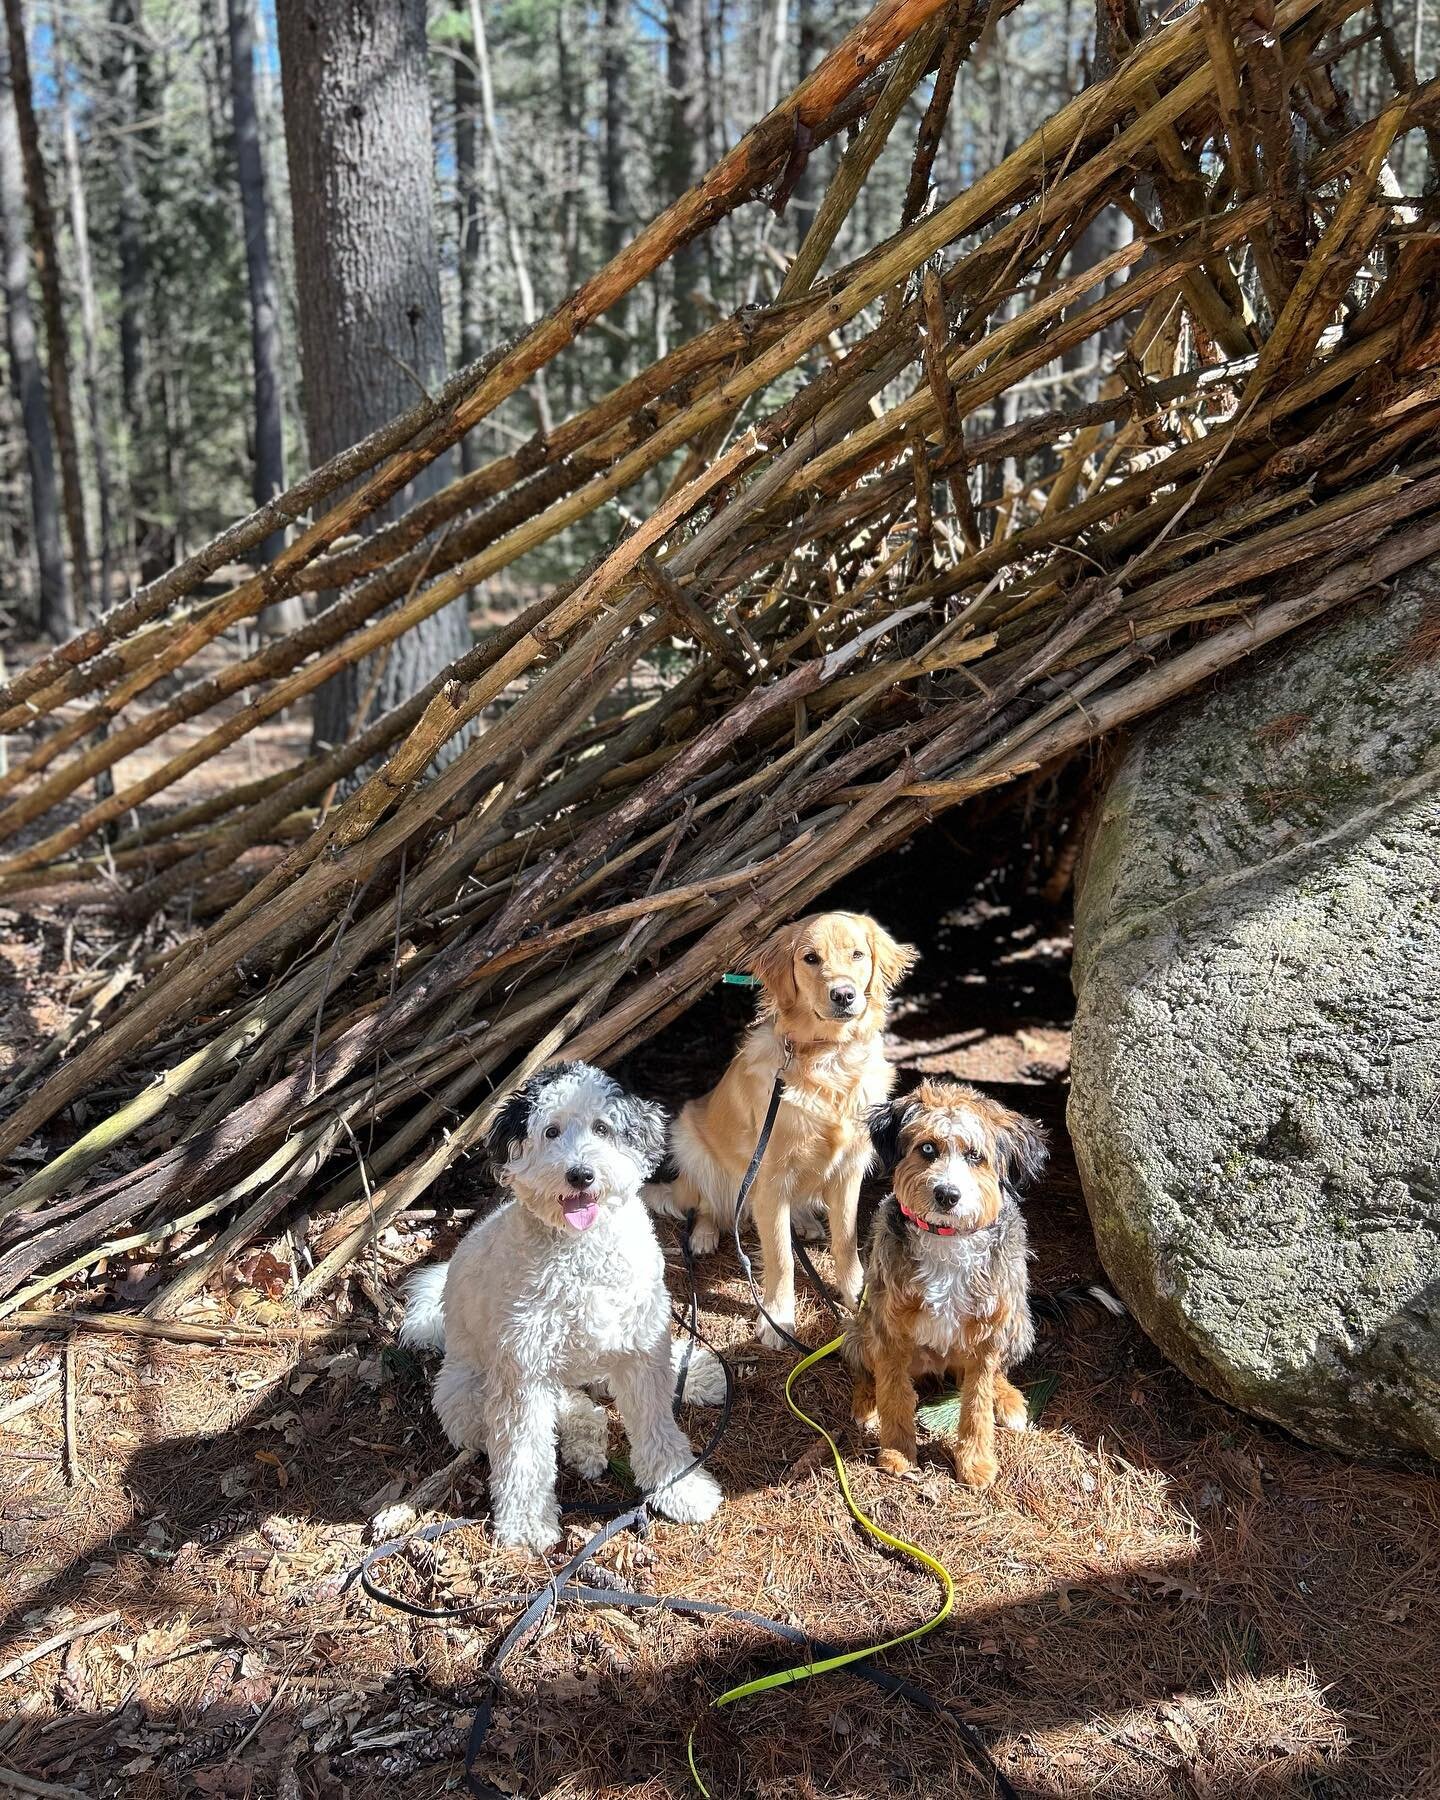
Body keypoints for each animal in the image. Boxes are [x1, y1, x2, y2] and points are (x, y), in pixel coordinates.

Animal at [399, 1058, 727, 1555]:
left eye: (602, 1127)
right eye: (550, 1131)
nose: (580, 1175)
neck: (581, 1252)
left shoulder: (640, 1348)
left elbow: (658, 1427)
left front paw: (681, 1488)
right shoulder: (523, 1372)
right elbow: (523, 1457)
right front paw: (527, 1525)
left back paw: (696, 1376)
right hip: (467, 1394)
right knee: (563, 1407)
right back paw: (585, 1441)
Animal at [842, 1072, 1044, 1483]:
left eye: (975, 1156)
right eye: (928, 1148)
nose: (947, 1195)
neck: (946, 1238)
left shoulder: (987, 1334)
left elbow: (977, 1403)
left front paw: (976, 1461)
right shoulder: (889, 1328)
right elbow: (895, 1394)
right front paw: (897, 1453)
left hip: (1018, 1324)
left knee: (996, 1374)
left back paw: (1009, 1400)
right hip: (861, 1326)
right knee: (867, 1370)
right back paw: (866, 1403)